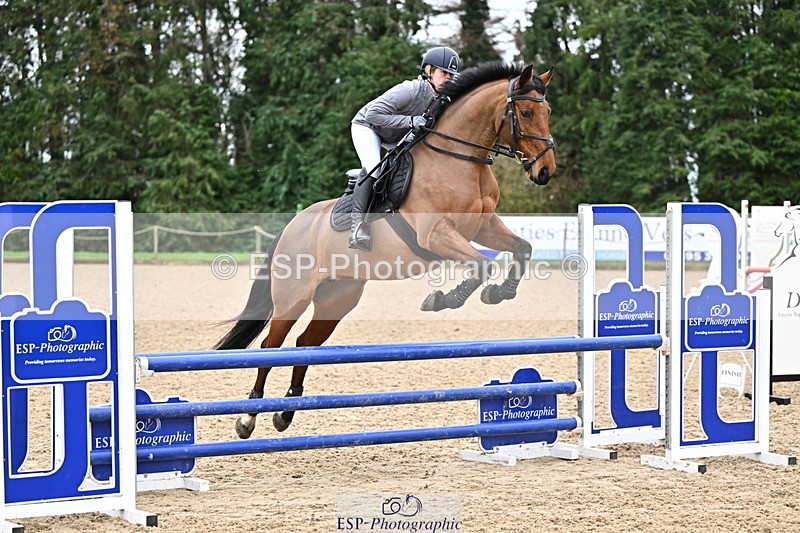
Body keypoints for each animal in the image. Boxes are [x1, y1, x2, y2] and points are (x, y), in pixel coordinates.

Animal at [214, 61, 556, 439]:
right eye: (525, 112)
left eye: (548, 112)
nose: (545, 171)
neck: (459, 160)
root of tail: (292, 226)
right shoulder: (436, 235)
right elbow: (482, 266)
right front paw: (442, 299)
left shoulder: (483, 227)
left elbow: (522, 248)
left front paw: (499, 293)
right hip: (293, 297)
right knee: (270, 348)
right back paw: (248, 418)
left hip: (338, 297)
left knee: (305, 344)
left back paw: (286, 412)